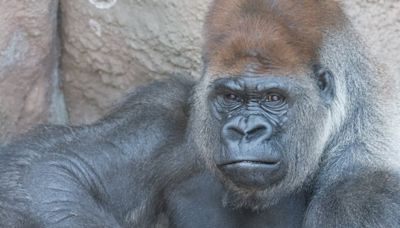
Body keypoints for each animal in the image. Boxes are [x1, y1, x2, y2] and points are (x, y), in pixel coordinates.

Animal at [0, 0, 400, 227]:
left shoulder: (364, 198)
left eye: (273, 98)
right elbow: (50, 169)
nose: (245, 130)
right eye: (230, 96)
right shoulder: (166, 112)